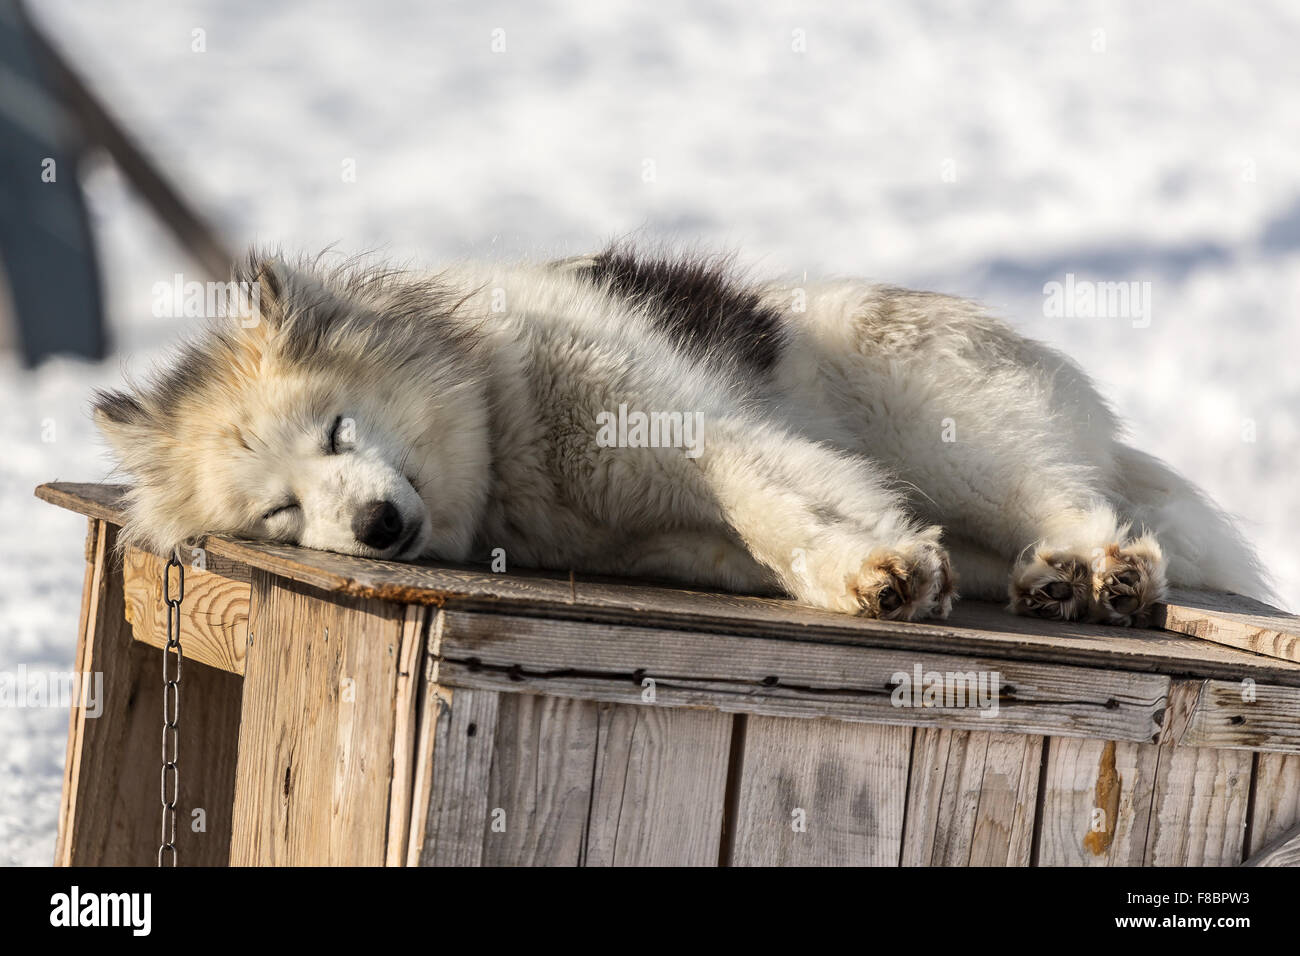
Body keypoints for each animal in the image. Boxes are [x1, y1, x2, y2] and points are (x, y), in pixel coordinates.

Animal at [94, 247, 1268, 624]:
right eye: (279, 511)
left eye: (339, 430)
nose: (377, 528)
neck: (508, 417)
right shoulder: (675, 536)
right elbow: (779, 542)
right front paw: (873, 571)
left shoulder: (704, 434)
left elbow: (776, 503)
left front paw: (870, 570)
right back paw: (1048, 581)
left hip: (937, 425)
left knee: (1076, 495)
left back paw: (1105, 568)